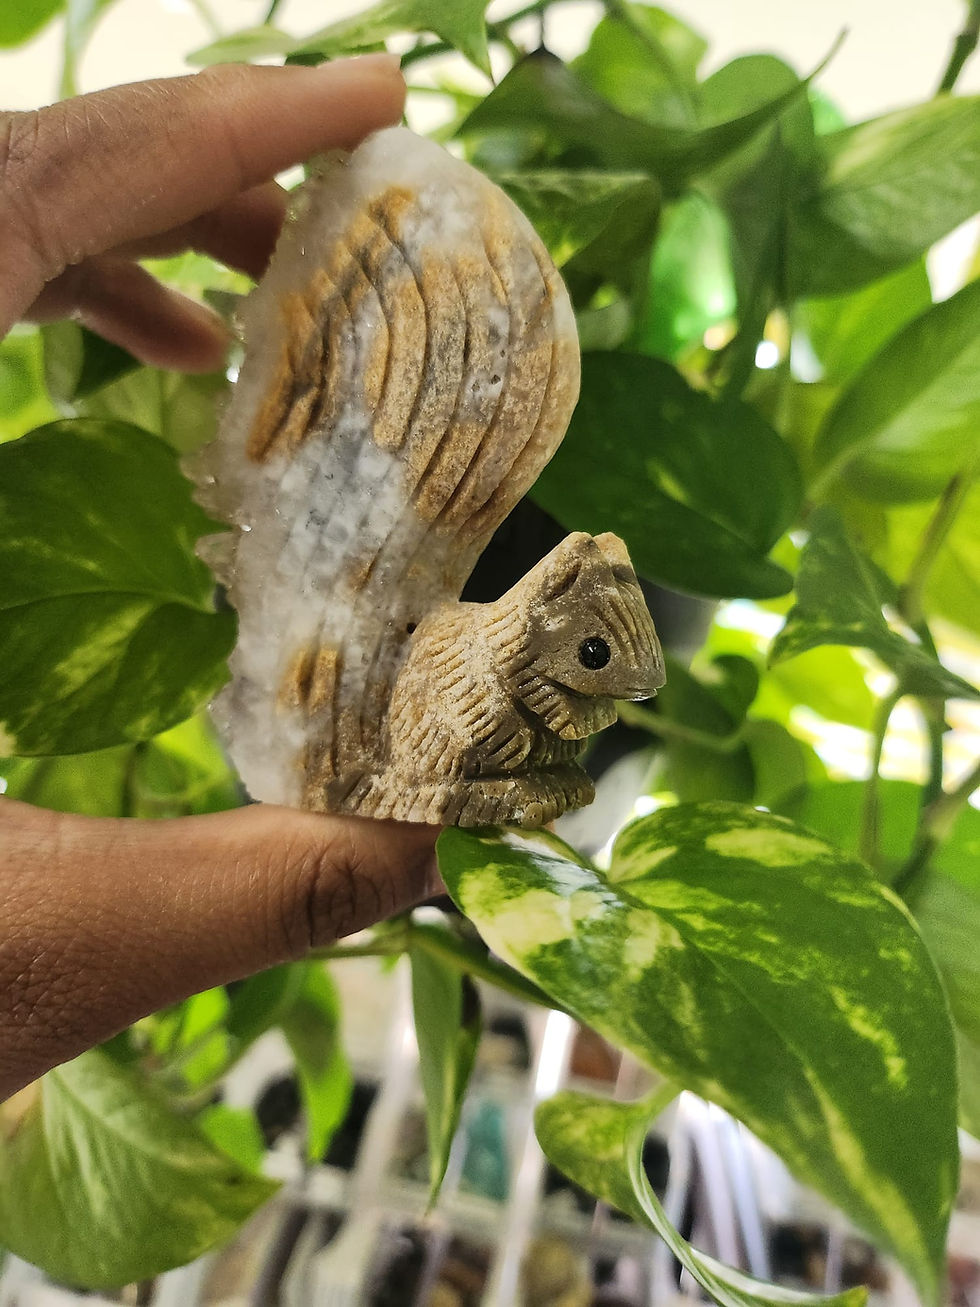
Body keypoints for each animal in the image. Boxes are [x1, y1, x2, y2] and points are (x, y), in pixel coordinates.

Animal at [190, 127, 665, 828]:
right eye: (593, 651)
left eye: (649, 630)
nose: (650, 685)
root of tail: (362, 775)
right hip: (460, 736)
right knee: (443, 781)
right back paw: (498, 795)